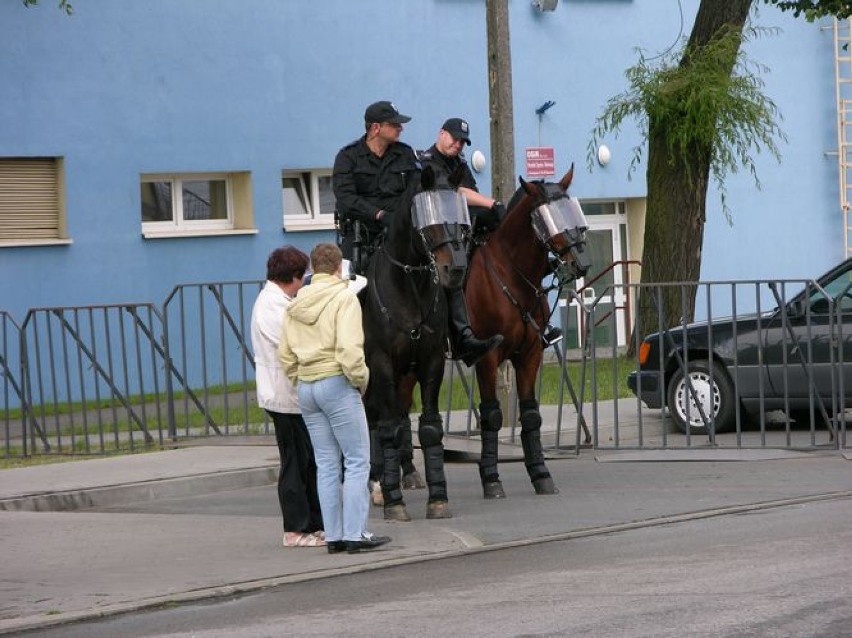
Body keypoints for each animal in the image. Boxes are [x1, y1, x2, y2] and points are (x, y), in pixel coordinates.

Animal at [460, 166, 592, 500]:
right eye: (548, 218)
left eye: (572, 210)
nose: (582, 263)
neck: (509, 275)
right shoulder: (488, 358)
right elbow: (492, 416)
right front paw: (491, 478)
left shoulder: (530, 352)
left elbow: (531, 415)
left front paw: (541, 474)